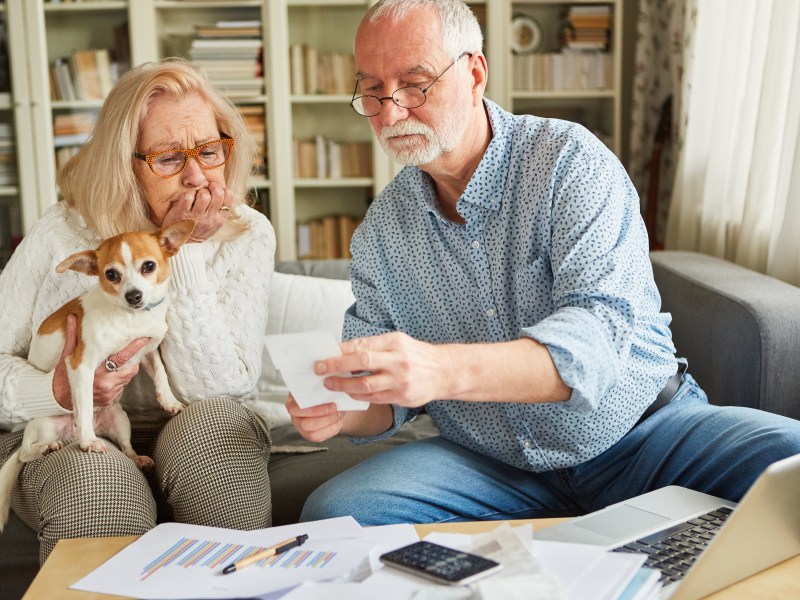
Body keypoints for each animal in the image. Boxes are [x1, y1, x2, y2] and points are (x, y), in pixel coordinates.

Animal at [0, 220, 195, 528]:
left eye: (149, 266)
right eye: (111, 274)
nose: (133, 295)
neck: (131, 318)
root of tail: (65, 436)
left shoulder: (146, 352)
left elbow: (161, 373)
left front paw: (169, 401)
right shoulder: (81, 365)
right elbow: (84, 402)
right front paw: (89, 440)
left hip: (120, 419)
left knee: (125, 446)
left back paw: (137, 457)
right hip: (45, 425)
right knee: (27, 451)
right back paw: (50, 447)